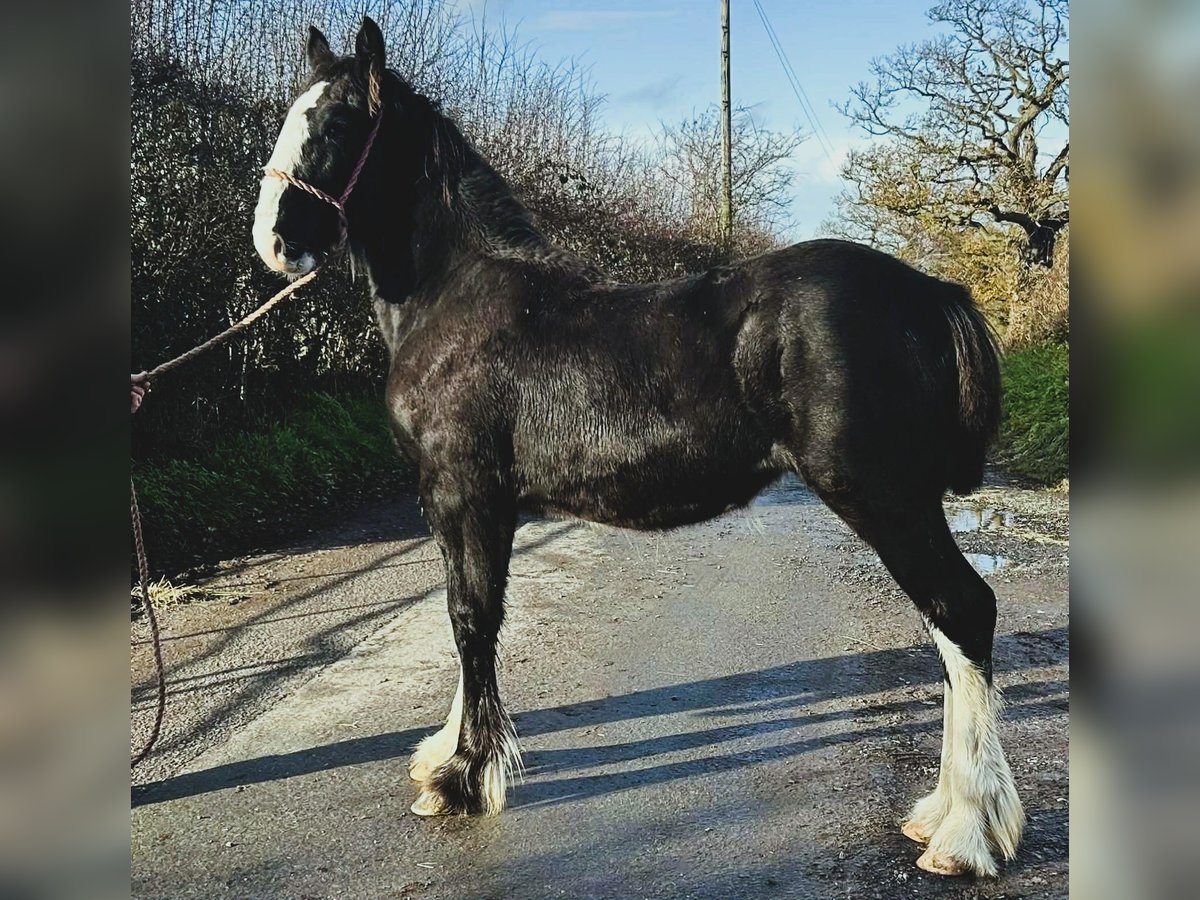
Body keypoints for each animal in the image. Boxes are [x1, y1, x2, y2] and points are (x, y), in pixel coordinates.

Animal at [252, 17, 1024, 878]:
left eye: (338, 123)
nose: (274, 240)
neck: (457, 299)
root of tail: (930, 293)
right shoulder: (473, 503)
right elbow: (473, 616)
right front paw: (446, 754)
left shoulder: (464, 492)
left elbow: (470, 618)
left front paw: (461, 780)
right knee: (950, 629)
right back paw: (941, 816)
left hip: (883, 497)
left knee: (963, 611)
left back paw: (965, 833)